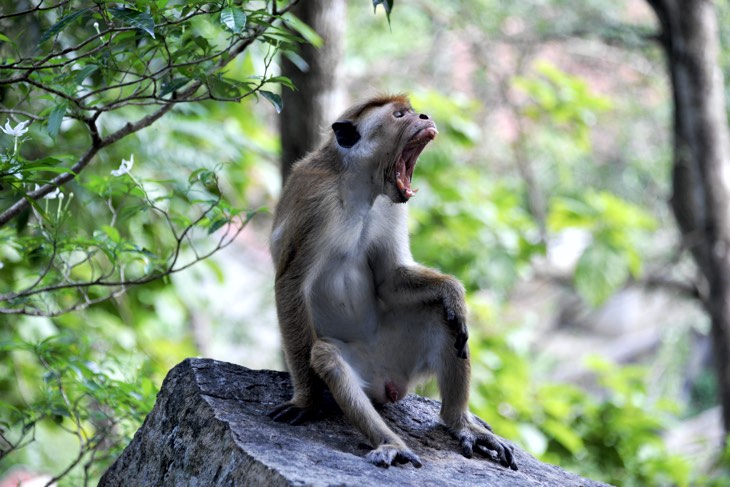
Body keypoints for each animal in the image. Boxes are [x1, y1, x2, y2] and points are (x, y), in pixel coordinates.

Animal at [268, 93, 516, 470]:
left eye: (411, 111)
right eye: (399, 115)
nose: (424, 115)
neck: (358, 186)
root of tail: (389, 383)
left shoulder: (390, 207)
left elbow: (390, 277)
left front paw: (454, 293)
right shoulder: (316, 203)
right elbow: (291, 285)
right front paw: (306, 401)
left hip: (401, 351)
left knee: (442, 318)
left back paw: (459, 422)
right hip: (363, 371)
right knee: (327, 356)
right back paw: (390, 442)